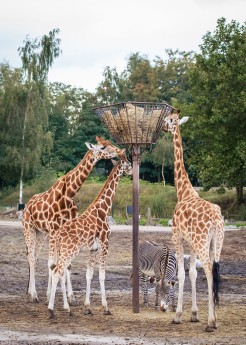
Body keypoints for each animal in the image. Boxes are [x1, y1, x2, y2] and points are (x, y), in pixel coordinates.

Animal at [21, 136, 125, 302]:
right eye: (103, 147)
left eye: (109, 143)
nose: (120, 151)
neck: (69, 194)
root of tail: (27, 205)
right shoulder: (54, 228)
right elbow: (53, 263)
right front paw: (52, 296)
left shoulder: (63, 231)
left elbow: (66, 264)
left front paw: (70, 296)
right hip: (29, 228)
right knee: (31, 256)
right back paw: (34, 295)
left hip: (41, 233)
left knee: (35, 257)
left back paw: (32, 292)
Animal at [47, 156, 133, 318]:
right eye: (129, 164)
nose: (132, 172)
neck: (104, 209)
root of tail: (58, 235)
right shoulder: (105, 243)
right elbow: (102, 275)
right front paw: (106, 307)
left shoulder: (93, 249)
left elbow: (89, 275)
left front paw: (87, 307)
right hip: (70, 251)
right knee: (57, 272)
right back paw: (51, 310)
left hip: (62, 251)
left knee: (60, 272)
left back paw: (66, 308)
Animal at [162, 112, 224, 330]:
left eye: (169, 120)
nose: (162, 126)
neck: (183, 191)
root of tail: (216, 220)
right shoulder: (191, 243)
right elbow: (192, 274)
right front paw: (194, 314)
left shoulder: (177, 236)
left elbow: (181, 273)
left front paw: (178, 315)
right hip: (216, 243)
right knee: (213, 269)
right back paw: (213, 319)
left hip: (203, 241)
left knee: (209, 270)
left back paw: (211, 322)